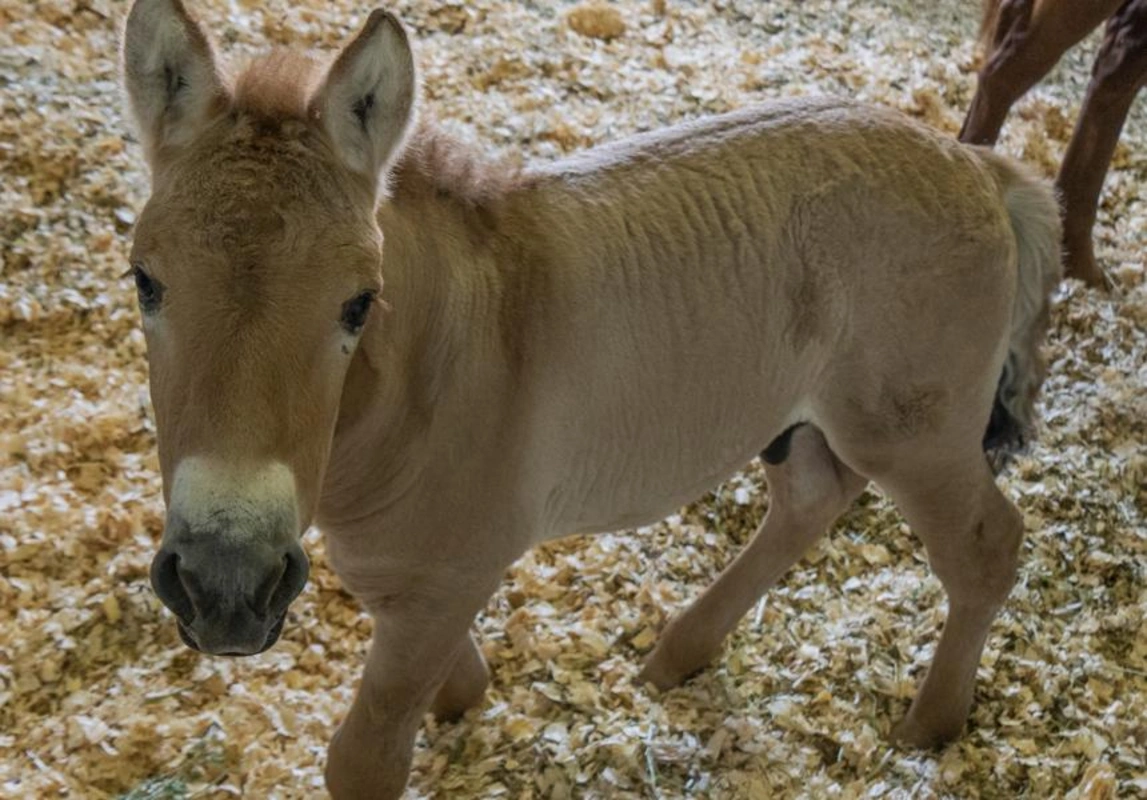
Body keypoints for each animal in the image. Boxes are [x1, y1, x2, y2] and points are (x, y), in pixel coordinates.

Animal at [121, 1, 1059, 798]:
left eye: (358, 302)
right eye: (144, 282)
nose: (225, 584)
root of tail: (975, 165)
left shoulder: (446, 579)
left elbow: (366, 756)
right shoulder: (402, 575)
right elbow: (442, 669)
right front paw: (467, 697)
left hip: (914, 433)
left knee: (984, 546)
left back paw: (930, 724)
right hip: (802, 418)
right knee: (810, 499)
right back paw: (680, 652)